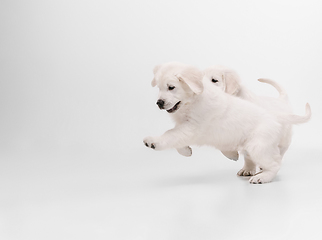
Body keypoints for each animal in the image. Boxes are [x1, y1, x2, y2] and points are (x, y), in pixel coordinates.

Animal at [143, 62, 310, 184]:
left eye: (171, 87)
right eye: (159, 88)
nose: (159, 103)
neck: (192, 101)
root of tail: (276, 114)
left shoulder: (191, 128)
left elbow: (170, 134)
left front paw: (153, 141)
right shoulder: (188, 129)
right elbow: (177, 140)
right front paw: (186, 151)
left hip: (258, 146)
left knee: (275, 163)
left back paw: (262, 177)